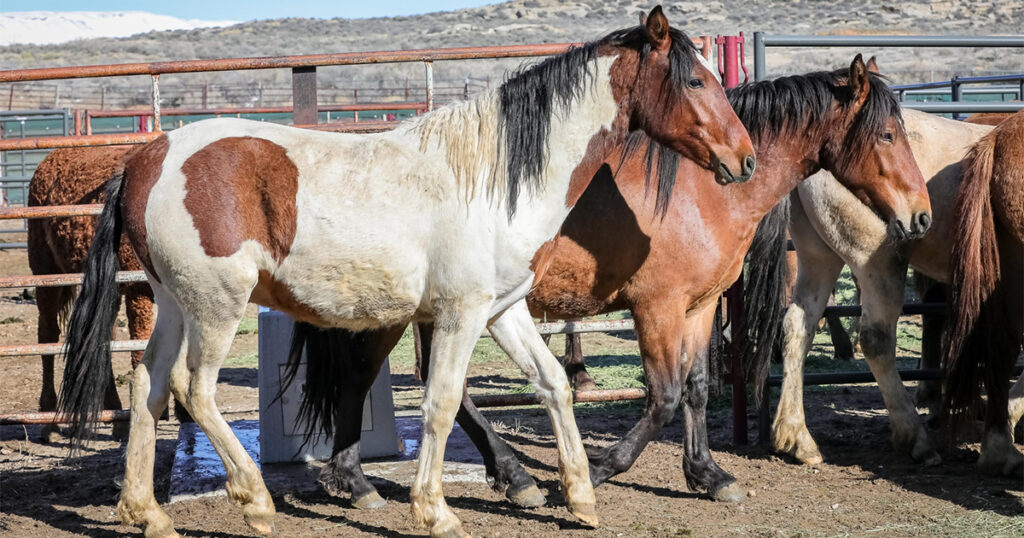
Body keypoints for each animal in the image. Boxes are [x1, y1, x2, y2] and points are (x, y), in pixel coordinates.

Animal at [27, 145, 146, 443]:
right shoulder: (140, 291)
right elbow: (140, 350)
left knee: (103, 338)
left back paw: (113, 413)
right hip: (45, 272)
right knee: (47, 336)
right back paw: (49, 420)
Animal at [57, 8, 756, 537]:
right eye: (696, 82)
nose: (745, 159)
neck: (494, 177)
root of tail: (146, 157)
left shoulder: (505, 311)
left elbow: (554, 384)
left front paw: (579, 498)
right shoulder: (461, 315)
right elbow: (442, 403)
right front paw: (436, 510)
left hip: (175, 304)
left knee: (148, 386)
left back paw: (146, 513)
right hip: (217, 305)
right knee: (193, 388)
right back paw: (254, 500)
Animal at [295, 54, 931, 509]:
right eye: (886, 136)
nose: (921, 216)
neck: (703, 189)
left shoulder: (699, 308)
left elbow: (697, 389)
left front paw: (707, 474)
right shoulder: (657, 309)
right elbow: (663, 397)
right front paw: (598, 470)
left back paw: (498, 474)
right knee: (365, 377)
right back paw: (363, 480)